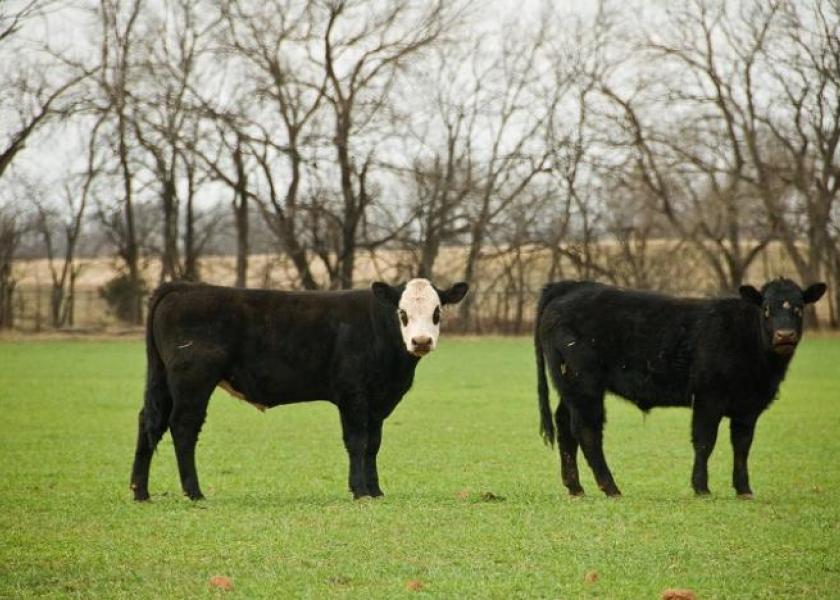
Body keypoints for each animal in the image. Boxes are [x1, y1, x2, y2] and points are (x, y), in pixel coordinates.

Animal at [129, 278, 470, 500]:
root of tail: (183, 286)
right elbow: (357, 442)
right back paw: (194, 492)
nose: (421, 341)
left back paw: (140, 491)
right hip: (193, 380)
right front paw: (360, 491)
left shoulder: (377, 400)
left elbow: (373, 444)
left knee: (149, 421)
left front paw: (375, 490)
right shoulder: (353, 394)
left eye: (437, 312)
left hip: (163, 380)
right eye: (402, 313)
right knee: (183, 427)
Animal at [536, 278, 824, 496]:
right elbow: (705, 441)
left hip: (569, 386)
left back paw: (575, 487)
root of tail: (572, 286)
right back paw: (610, 488)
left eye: (799, 307)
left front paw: (744, 489)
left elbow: (742, 445)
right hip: (584, 384)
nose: (785, 335)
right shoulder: (708, 397)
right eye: (766, 308)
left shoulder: (748, 406)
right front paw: (701, 487)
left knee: (565, 426)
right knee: (587, 430)